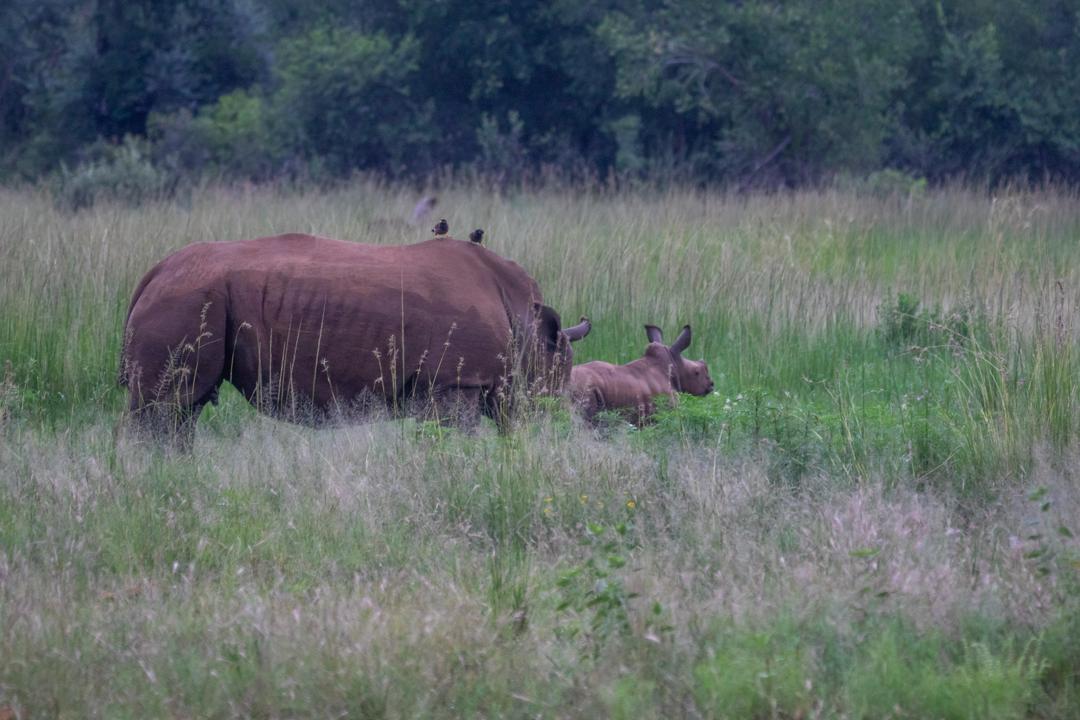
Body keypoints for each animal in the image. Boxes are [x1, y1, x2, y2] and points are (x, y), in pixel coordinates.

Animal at [119, 234, 591, 442]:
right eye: (551, 392)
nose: (556, 433)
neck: (525, 322)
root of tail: (154, 273)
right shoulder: (455, 382)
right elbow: (459, 438)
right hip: (188, 297)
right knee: (165, 407)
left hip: (193, 295)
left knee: (184, 408)